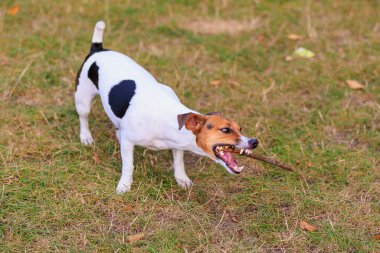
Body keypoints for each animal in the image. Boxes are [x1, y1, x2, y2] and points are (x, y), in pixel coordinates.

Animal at [74, 21, 258, 193]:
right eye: (225, 130)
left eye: (240, 128)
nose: (254, 141)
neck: (166, 119)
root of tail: (98, 50)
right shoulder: (129, 143)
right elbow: (128, 166)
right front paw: (124, 185)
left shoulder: (176, 145)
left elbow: (179, 162)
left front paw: (181, 179)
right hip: (83, 98)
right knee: (83, 117)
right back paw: (86, 136)